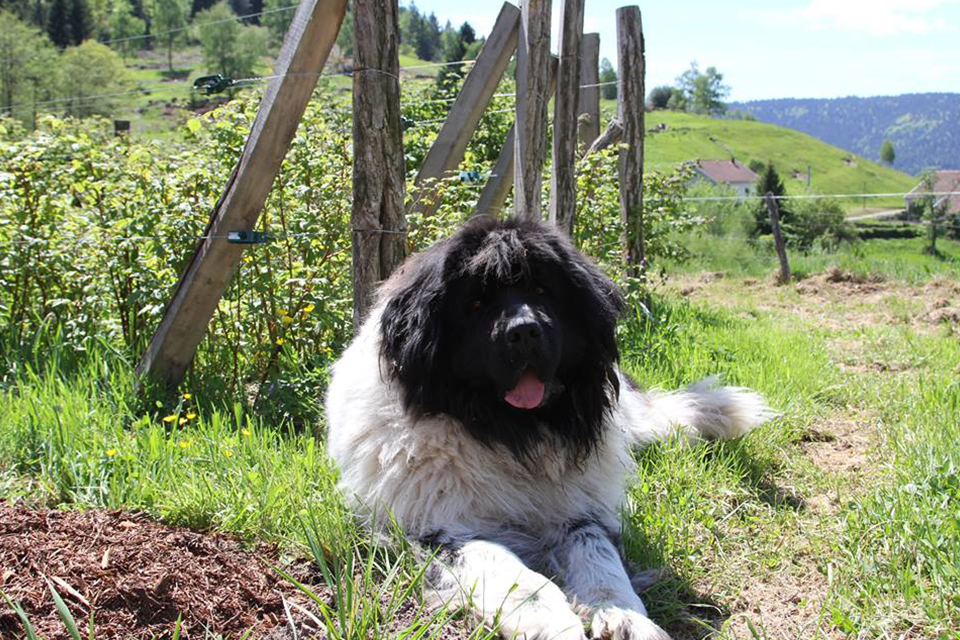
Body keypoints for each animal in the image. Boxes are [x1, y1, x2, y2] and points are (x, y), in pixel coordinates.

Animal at [326, 218, 776, 636]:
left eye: (543, 291)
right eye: (475, 304)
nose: (524, 331)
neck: (511, 435)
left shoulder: (580, 506)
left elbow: (598, 553)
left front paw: (626, 616)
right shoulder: (438, 527)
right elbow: (510, 572)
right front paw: (552, 622)